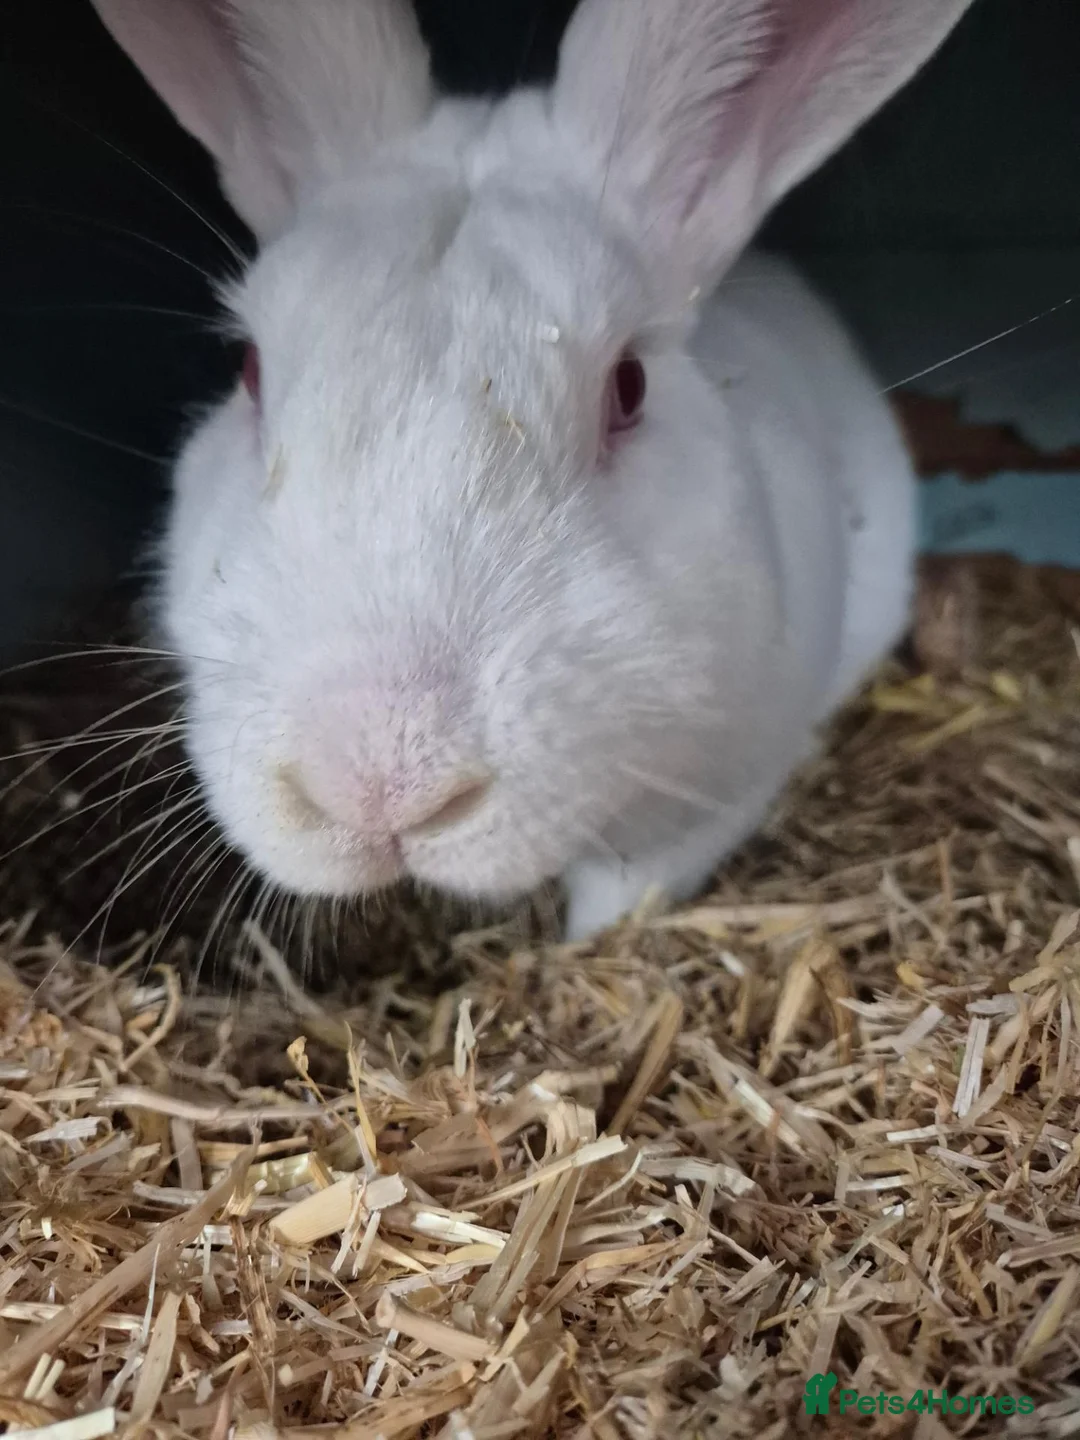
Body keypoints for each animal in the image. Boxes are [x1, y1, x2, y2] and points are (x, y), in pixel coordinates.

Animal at [91, 0, 973, 942]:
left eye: (629, 386)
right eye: (250, 369)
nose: (377, 785)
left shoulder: (716, 791)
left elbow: (624, 890)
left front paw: (582, 944)